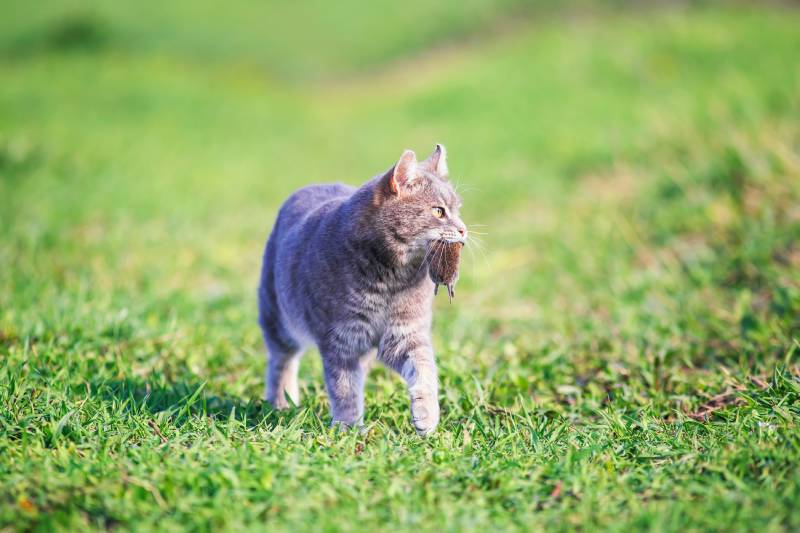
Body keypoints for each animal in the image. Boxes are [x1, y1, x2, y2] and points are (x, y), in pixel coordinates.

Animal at [260, 143, 466, 434]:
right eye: (439, 212)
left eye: (457, 210)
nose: (463, 230)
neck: (392, 280)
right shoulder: (341, 340)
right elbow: (344, 389)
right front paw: (348, 429)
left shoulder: (404, 334)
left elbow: (425, 369)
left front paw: (426, 415)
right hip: (277, 319)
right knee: (281, 362)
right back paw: (281, 404)